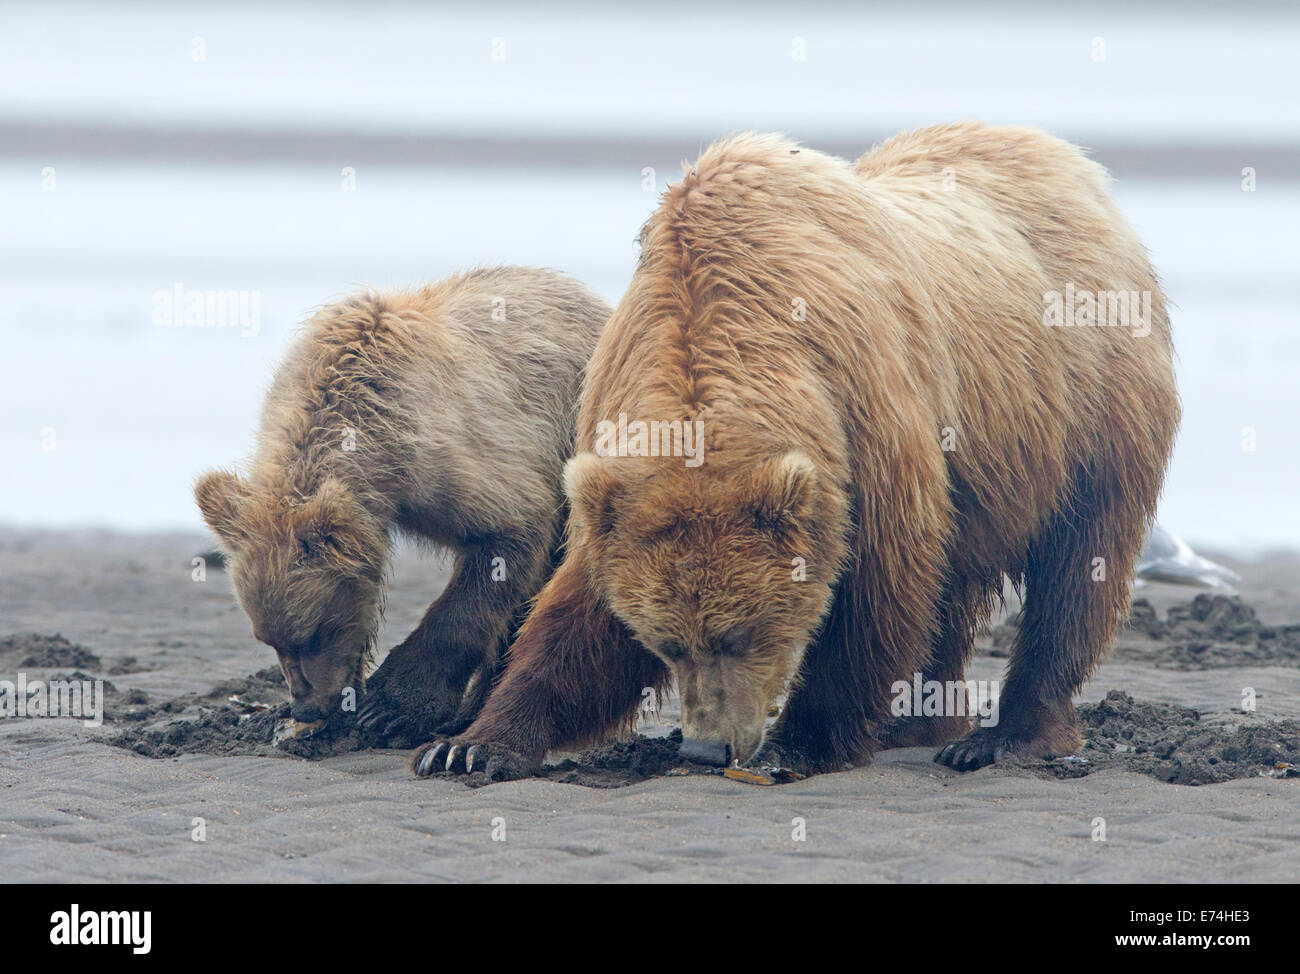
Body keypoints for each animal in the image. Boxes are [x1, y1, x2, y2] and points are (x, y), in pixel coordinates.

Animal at [194, 266, 610, 745]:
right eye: (270, 640)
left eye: (316, 632)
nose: (307, 705)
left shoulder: (442, 453)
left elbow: (505, 538)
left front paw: (393, 707)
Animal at [414, 124, 1180, 780]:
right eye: (667, 641)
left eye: (741, 633)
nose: (705, 746)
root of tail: (1072, 163)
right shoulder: (619, 427)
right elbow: (575, 615)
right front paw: (471, 745)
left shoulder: (866, 419)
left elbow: (876, 588)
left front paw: (798, 744)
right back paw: (921, 720)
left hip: (1089, 406)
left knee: (1076, 568)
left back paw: (1005, 737)